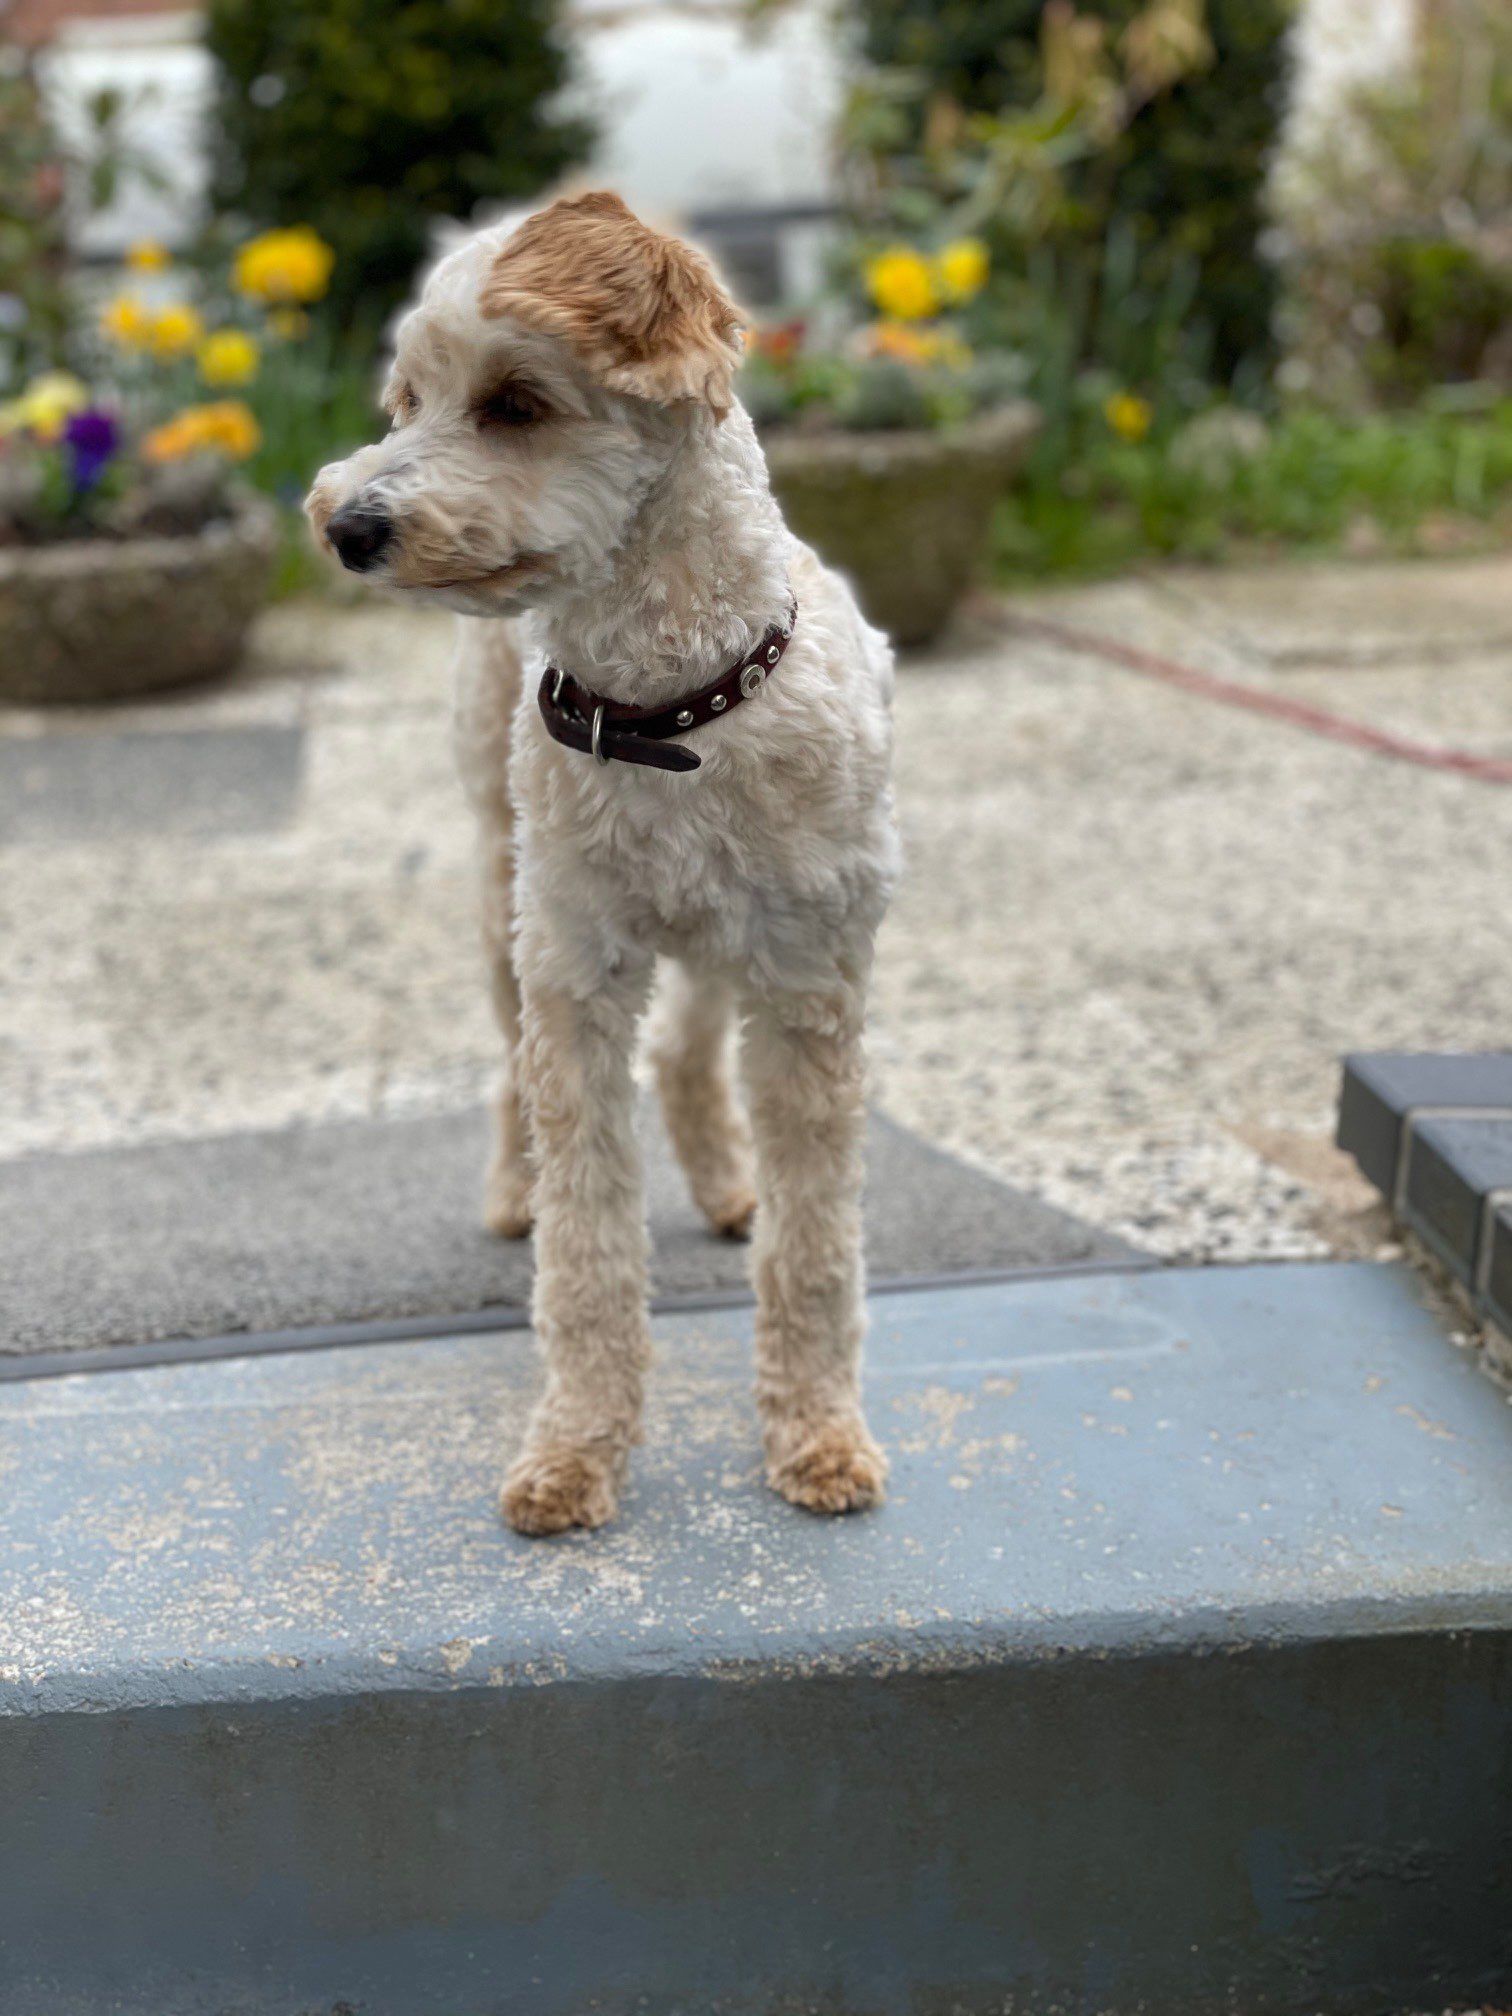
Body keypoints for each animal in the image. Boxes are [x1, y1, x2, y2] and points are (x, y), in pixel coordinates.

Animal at [306, 192, 899, 1540]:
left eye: (516, 403)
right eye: (406, 402)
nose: (348, 526)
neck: (665, 705)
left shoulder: (811, 985)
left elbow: (815, 1248)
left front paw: (818, 1437)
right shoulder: (573, 978)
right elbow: (584, 1252)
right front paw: (576, 1451)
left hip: (733, 939)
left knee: (688, 1051)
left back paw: (727, 1184)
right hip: (502, 902)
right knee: (514, 1070)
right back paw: (513, 1186)